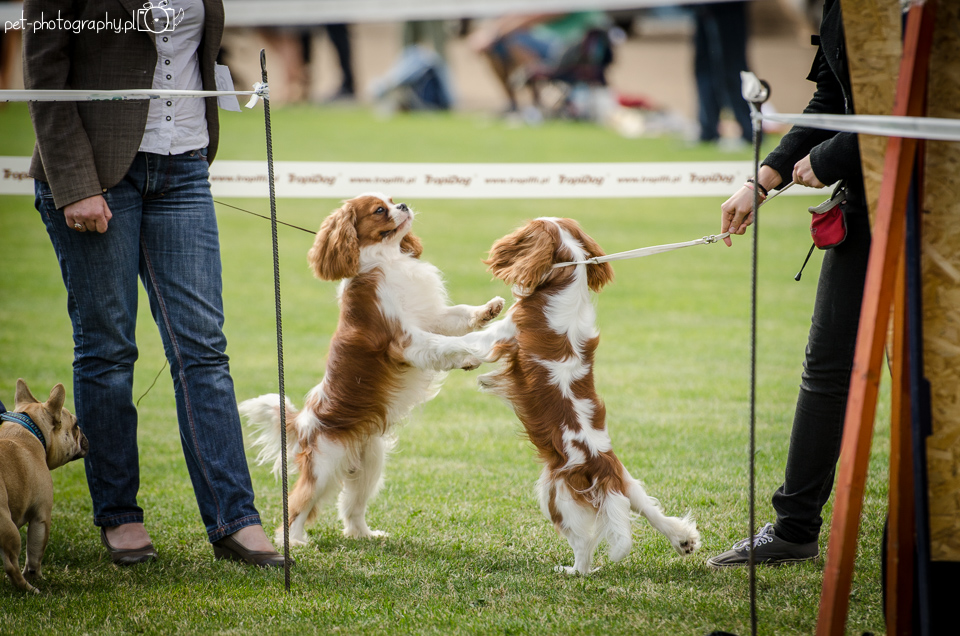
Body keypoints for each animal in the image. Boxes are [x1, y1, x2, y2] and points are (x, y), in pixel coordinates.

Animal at [1, 379, 88, 593]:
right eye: (76, 425)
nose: (84, 433)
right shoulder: (41, 516)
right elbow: (35, 552)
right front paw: (35, 575)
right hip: (9, 528)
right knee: (11, 565)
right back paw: (30, 589)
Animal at [241, 193, 504, 544]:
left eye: (392, 200)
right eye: (380, 210)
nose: (403, 205)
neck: (388, 259)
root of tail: (303, 422)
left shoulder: (430, 319)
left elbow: (457, 317)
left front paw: (489, 309)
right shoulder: (406, 341)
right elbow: (446, 345)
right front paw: (476, 352)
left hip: (370, 465)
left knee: (351, 507)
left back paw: (364, 534)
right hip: (323, 467)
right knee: (296, 505)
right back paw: (293, 542)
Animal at [467, 217, 701, 574]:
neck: (567, 282)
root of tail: (602, 467)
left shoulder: (500, 335)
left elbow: (460, 339)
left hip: (554, 493)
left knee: (583, 545)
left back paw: (572, 571)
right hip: (626, 483)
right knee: (649, 509)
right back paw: (682, 539)